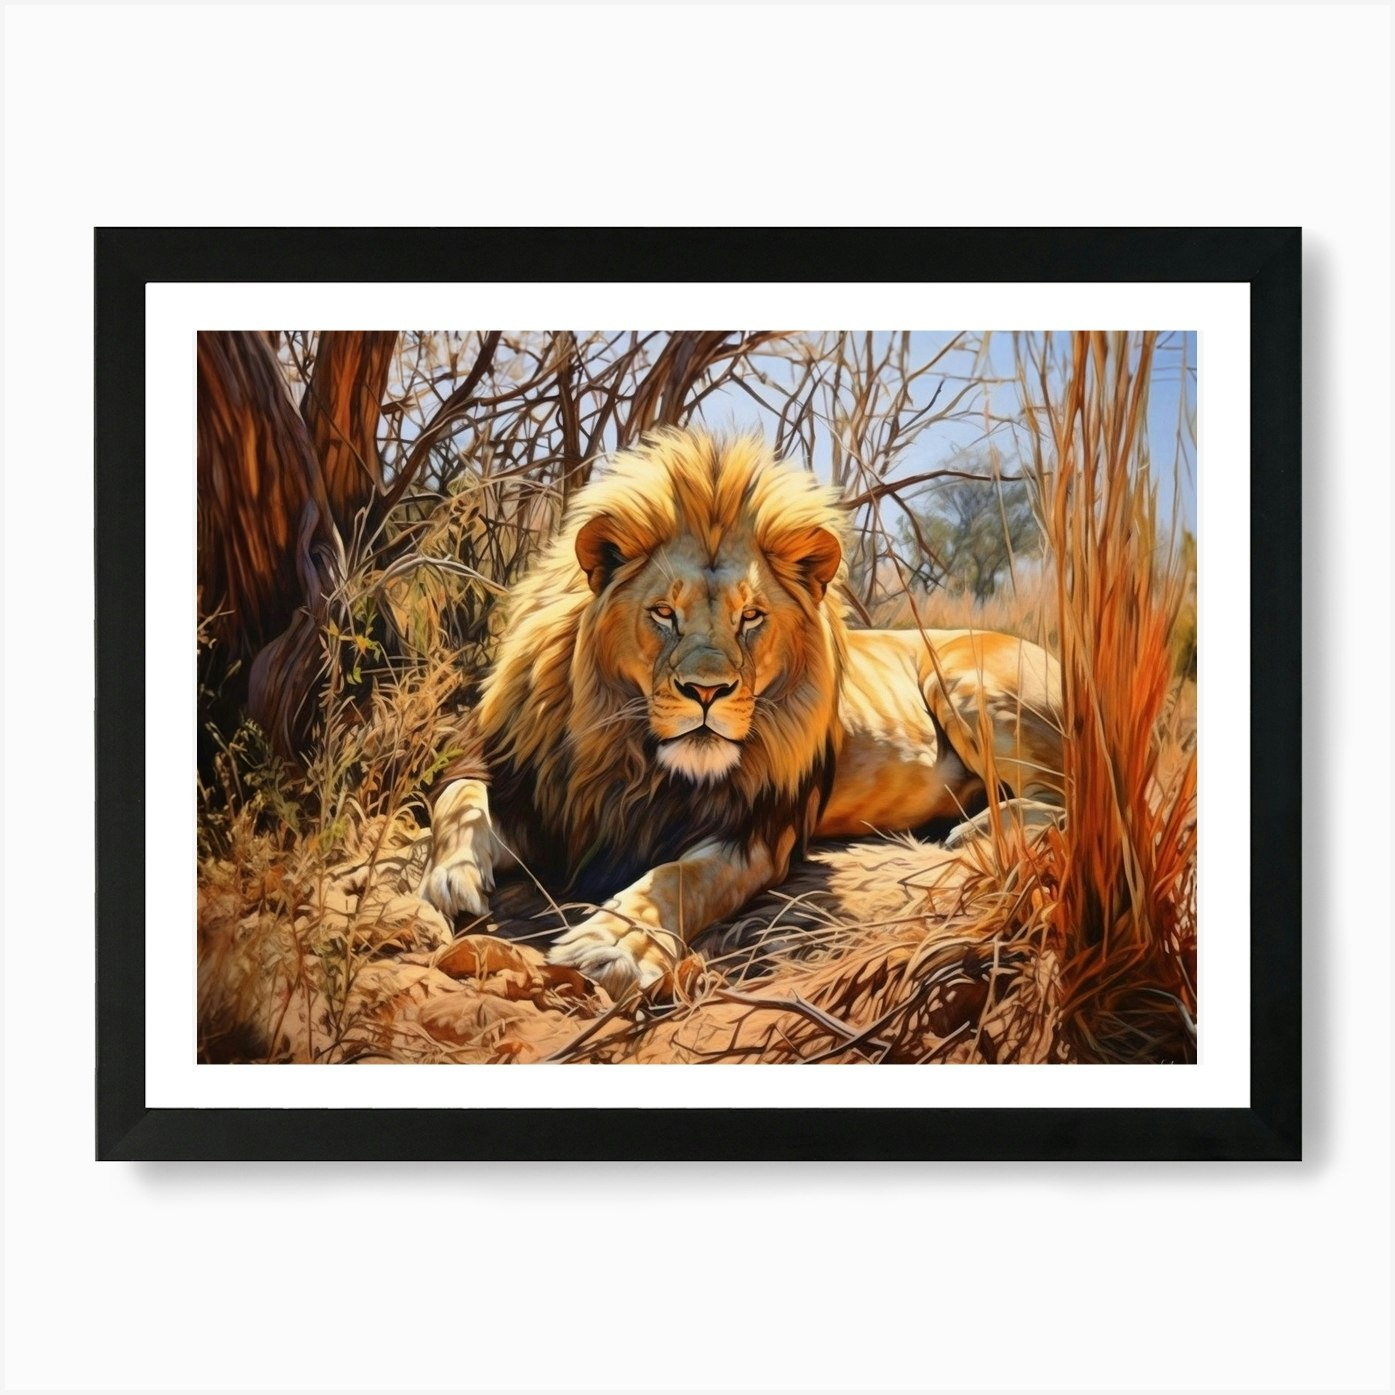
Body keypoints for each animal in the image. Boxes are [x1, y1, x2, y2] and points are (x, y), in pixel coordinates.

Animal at [420, 428, 1064, 998]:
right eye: (664, 613)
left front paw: (615, 945)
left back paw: (973, 831)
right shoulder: (528, 786)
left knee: (1067, 793)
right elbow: (460, 801)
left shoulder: (756, 833)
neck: (634, 764)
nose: (707, 691)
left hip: (966, 680)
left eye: (750, 617)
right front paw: (452, 878)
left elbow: (679, 878)